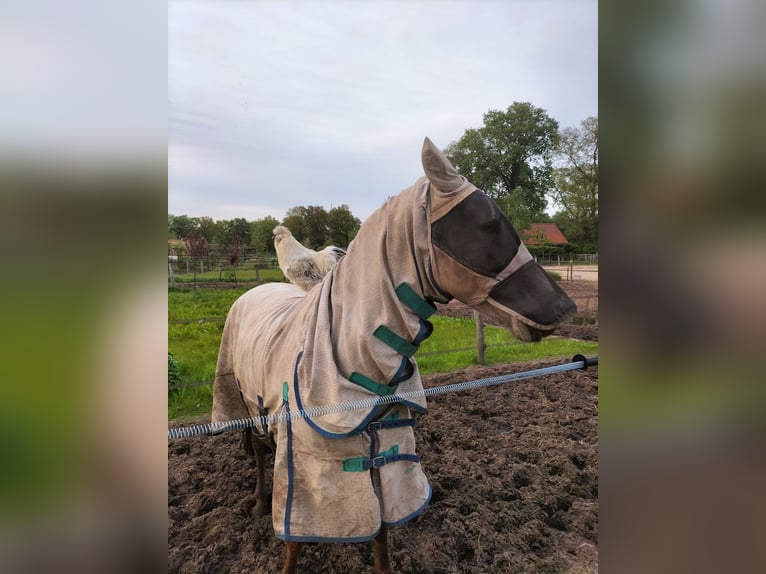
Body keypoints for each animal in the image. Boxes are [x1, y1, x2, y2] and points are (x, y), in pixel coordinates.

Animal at [212, 140, 576, 574]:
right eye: (488, 223)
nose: (565, 308)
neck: (348, 363)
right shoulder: (305, 473)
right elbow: (294, 544)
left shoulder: (387, 456)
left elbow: (382, 534)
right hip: (244, 404)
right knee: (256, 452)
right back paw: (256, 501)